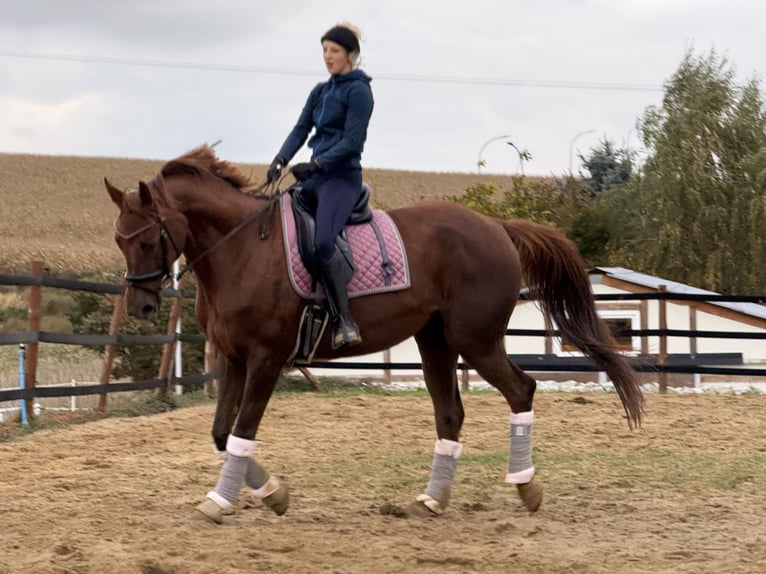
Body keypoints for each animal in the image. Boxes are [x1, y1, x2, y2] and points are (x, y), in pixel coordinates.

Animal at [105, 145, 643, 522]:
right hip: (435, 343)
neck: (241, 251)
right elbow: (221, 433)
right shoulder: (234, 358)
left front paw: (228, 500)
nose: (141, 305)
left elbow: (242, 432)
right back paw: (433, 499)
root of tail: (496, 226)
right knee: (450, 414)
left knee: (521, 390)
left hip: (476, 342)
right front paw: (269, 493)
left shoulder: (265, 360)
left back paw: (525, 487)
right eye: (118, 238)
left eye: (148, 239)